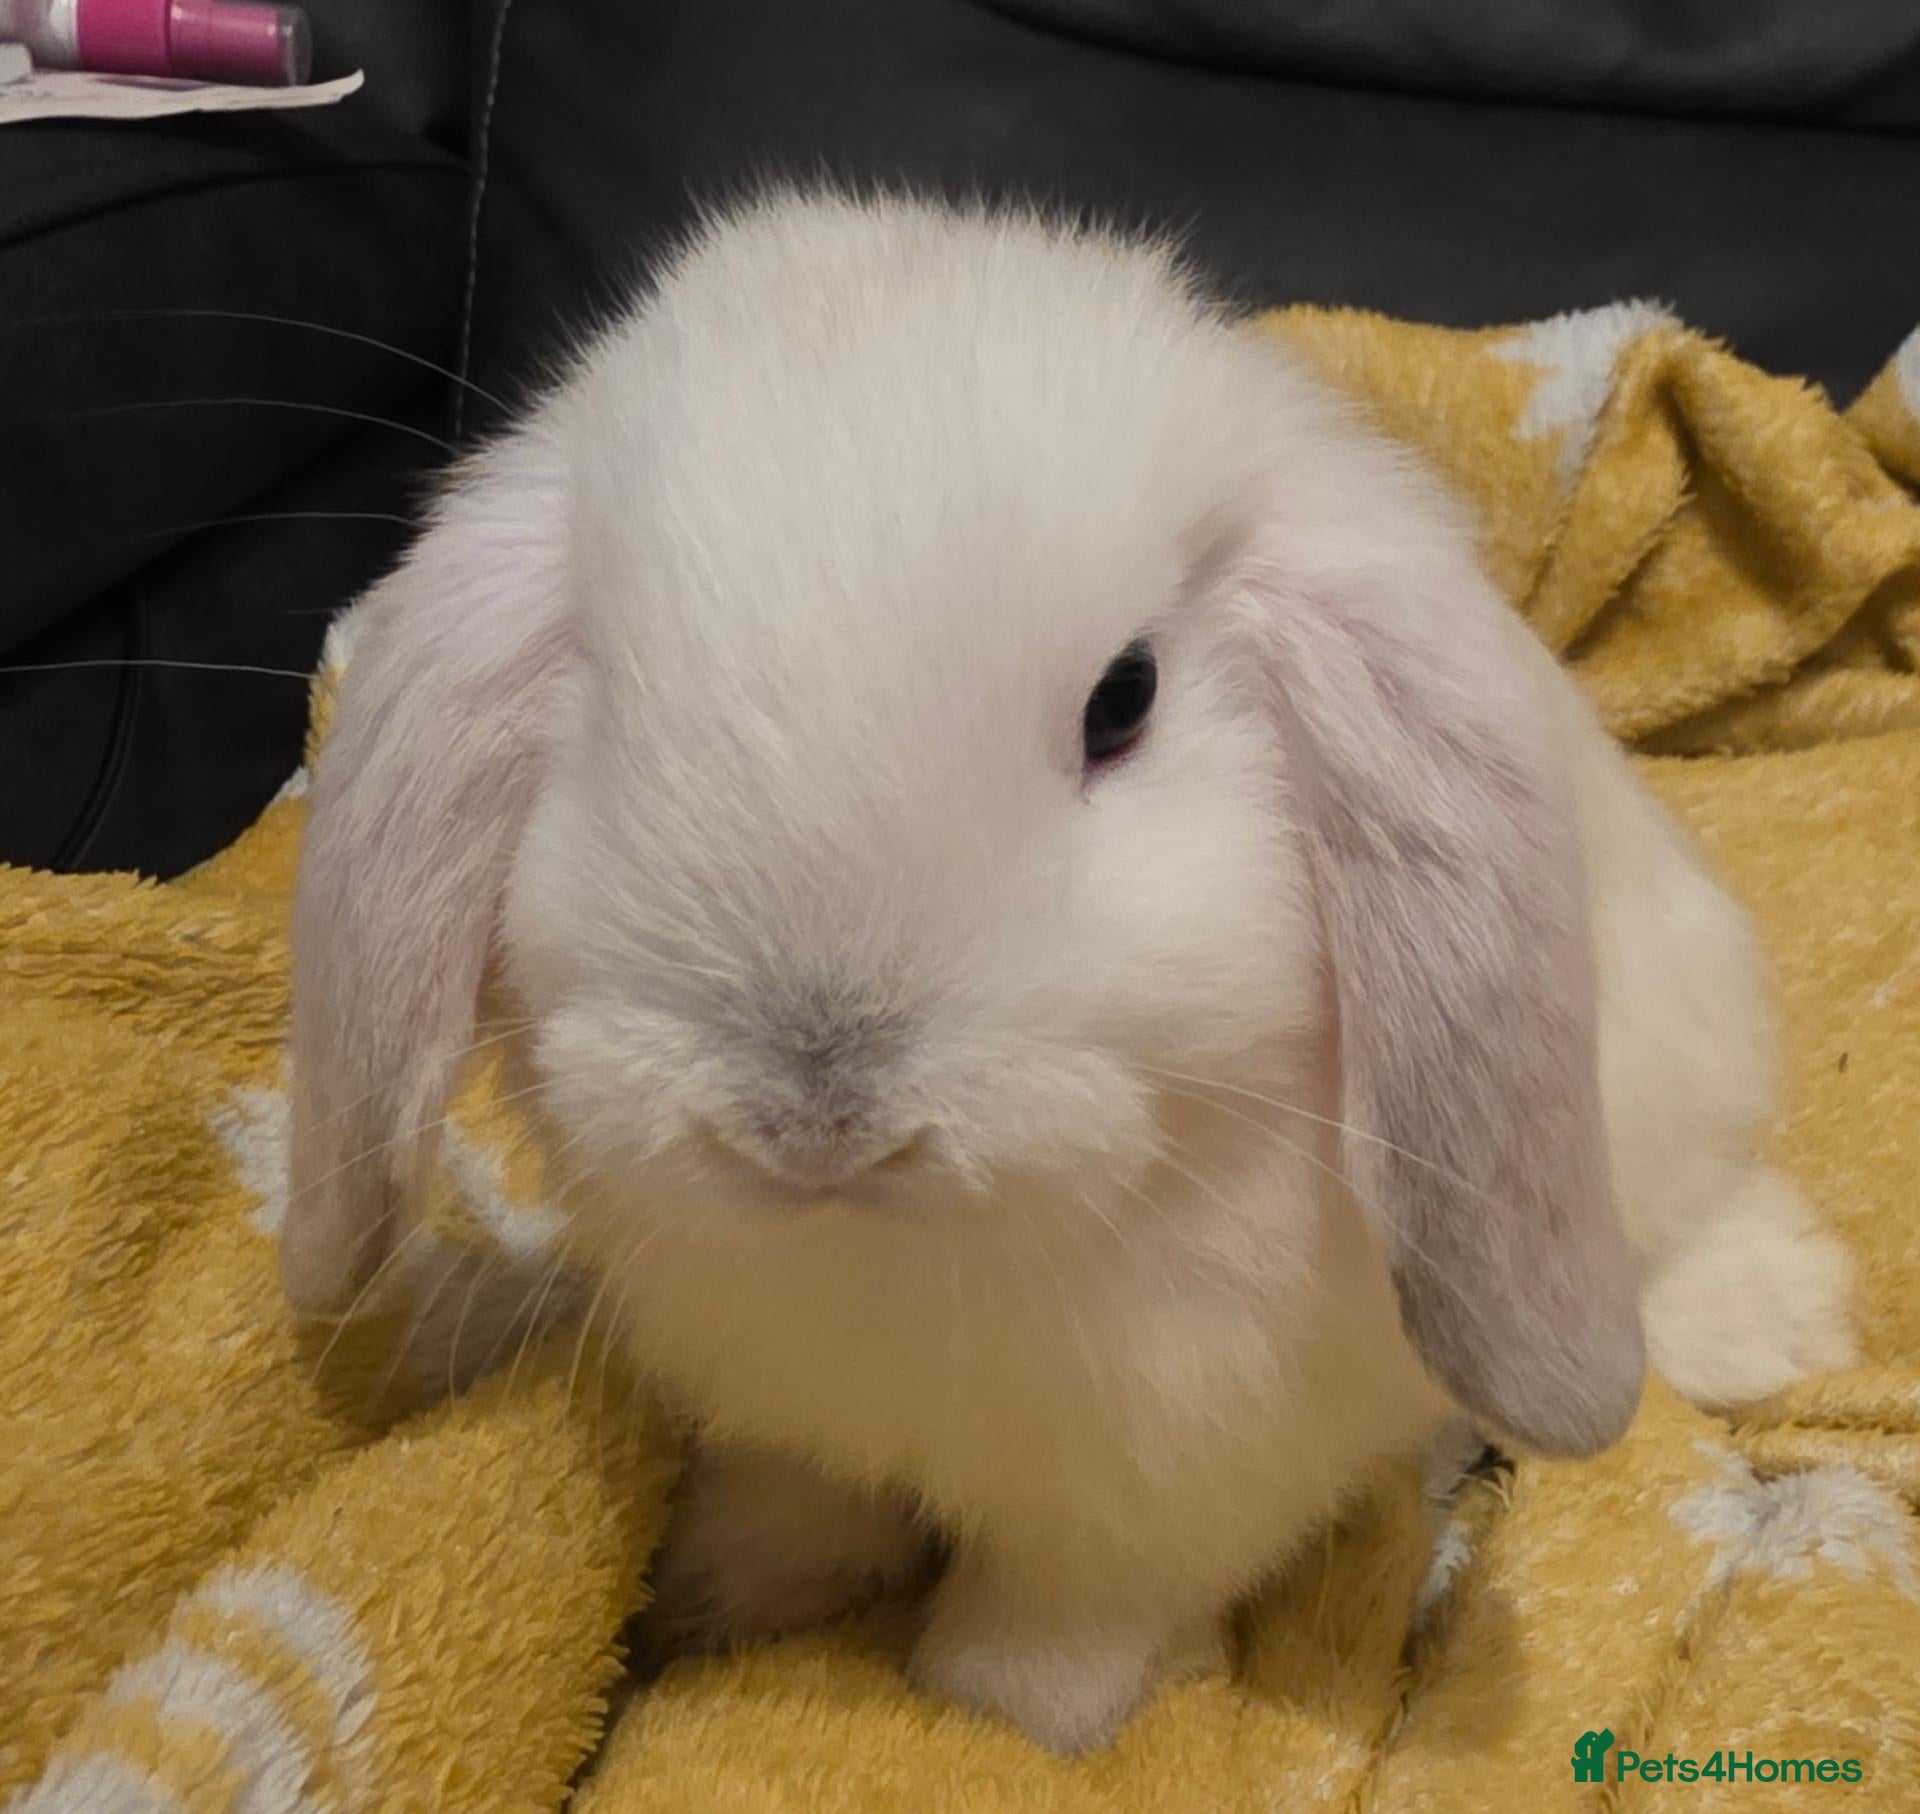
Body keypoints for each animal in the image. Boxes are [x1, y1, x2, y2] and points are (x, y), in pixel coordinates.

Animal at [282, 192, 1856, 1755]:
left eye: (1124, 700)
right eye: (608, 695)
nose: (815, 1114)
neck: (898, 1259)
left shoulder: (1169, 1483)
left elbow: (1064, 1614)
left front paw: (1003, 1712)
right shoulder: (790, 1412)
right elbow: (799, 1507)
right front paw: (711, 1602)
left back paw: (1785, 1312)